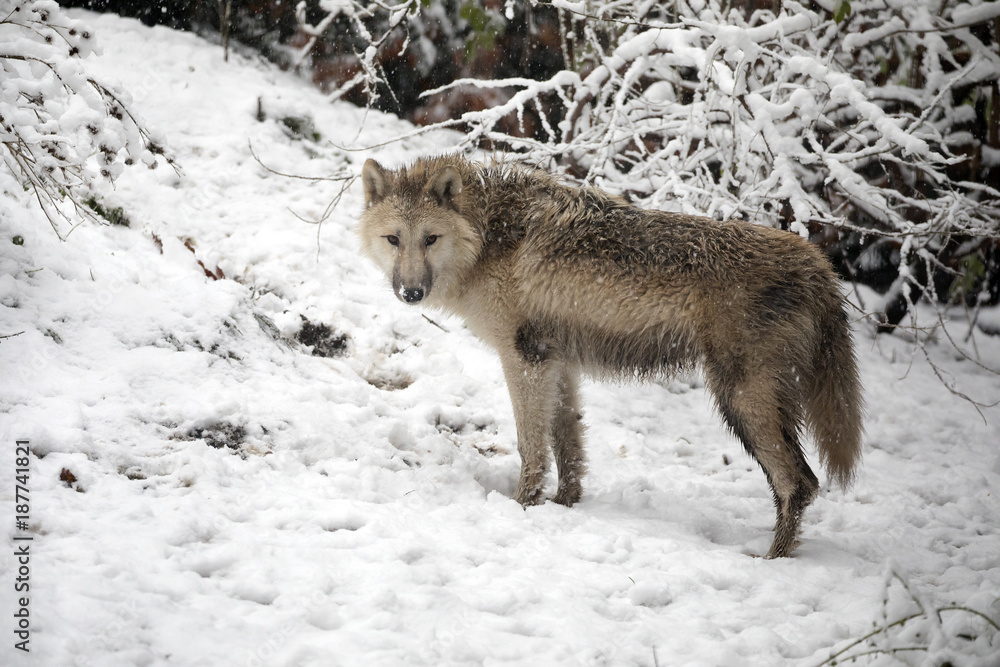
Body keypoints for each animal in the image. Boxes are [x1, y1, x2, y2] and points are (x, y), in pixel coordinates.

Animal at [358, 155, 863, 558]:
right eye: (394, 240)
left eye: (430, 239)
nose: (411, 292)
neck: (489, 237)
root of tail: (818, 263)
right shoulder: (557, 363)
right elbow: (567, 445)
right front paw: (564, 506)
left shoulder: (524, 360)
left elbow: (530, 447)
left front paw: (522, 507)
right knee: (802, 484)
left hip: (741, 401)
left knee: (798, 484)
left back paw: (770, 561)